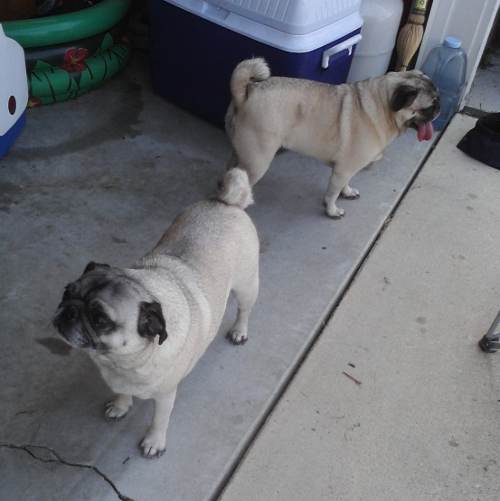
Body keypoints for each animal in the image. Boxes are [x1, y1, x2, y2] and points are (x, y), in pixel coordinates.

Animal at [52, 168, 259, 458]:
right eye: (66, 292)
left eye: (100, 319)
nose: (69, 310)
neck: (121, 362)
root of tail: (227, 204)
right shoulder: (120, 380)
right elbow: (122, 393)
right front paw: (121, 405)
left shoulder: (165, 395)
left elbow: (159, 420)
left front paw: (154, 442)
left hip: (247, 284)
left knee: (244, 309)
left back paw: (240, 330)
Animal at [225, 58, 440, 218]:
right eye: (429, 106)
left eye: (437, 100)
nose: (439, 109)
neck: (382, 106)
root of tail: (246, 93)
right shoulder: (343, 170)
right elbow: (332, 193)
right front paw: (332, 210)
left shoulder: (349, 169)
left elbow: (345, 185)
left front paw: (348, 192)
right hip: (258, 162)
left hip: (240, 153)